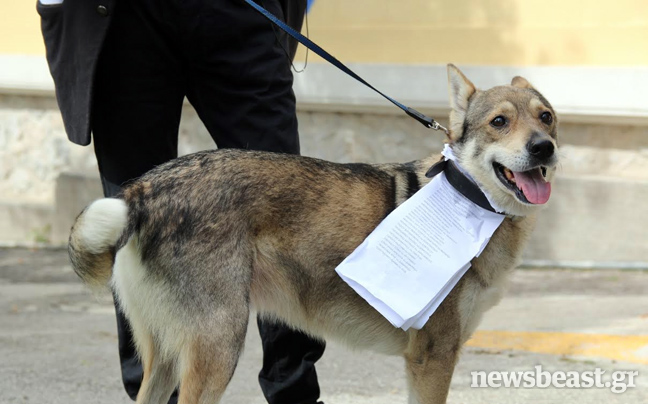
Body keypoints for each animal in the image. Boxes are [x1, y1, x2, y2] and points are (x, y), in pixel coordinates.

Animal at [68, 65, 560, 404]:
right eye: (499, 122)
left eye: (547, 117)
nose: (545, 148)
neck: (469, 195)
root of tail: (142, 189)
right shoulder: (431, 358)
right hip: (219, 349)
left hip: (167, 360)